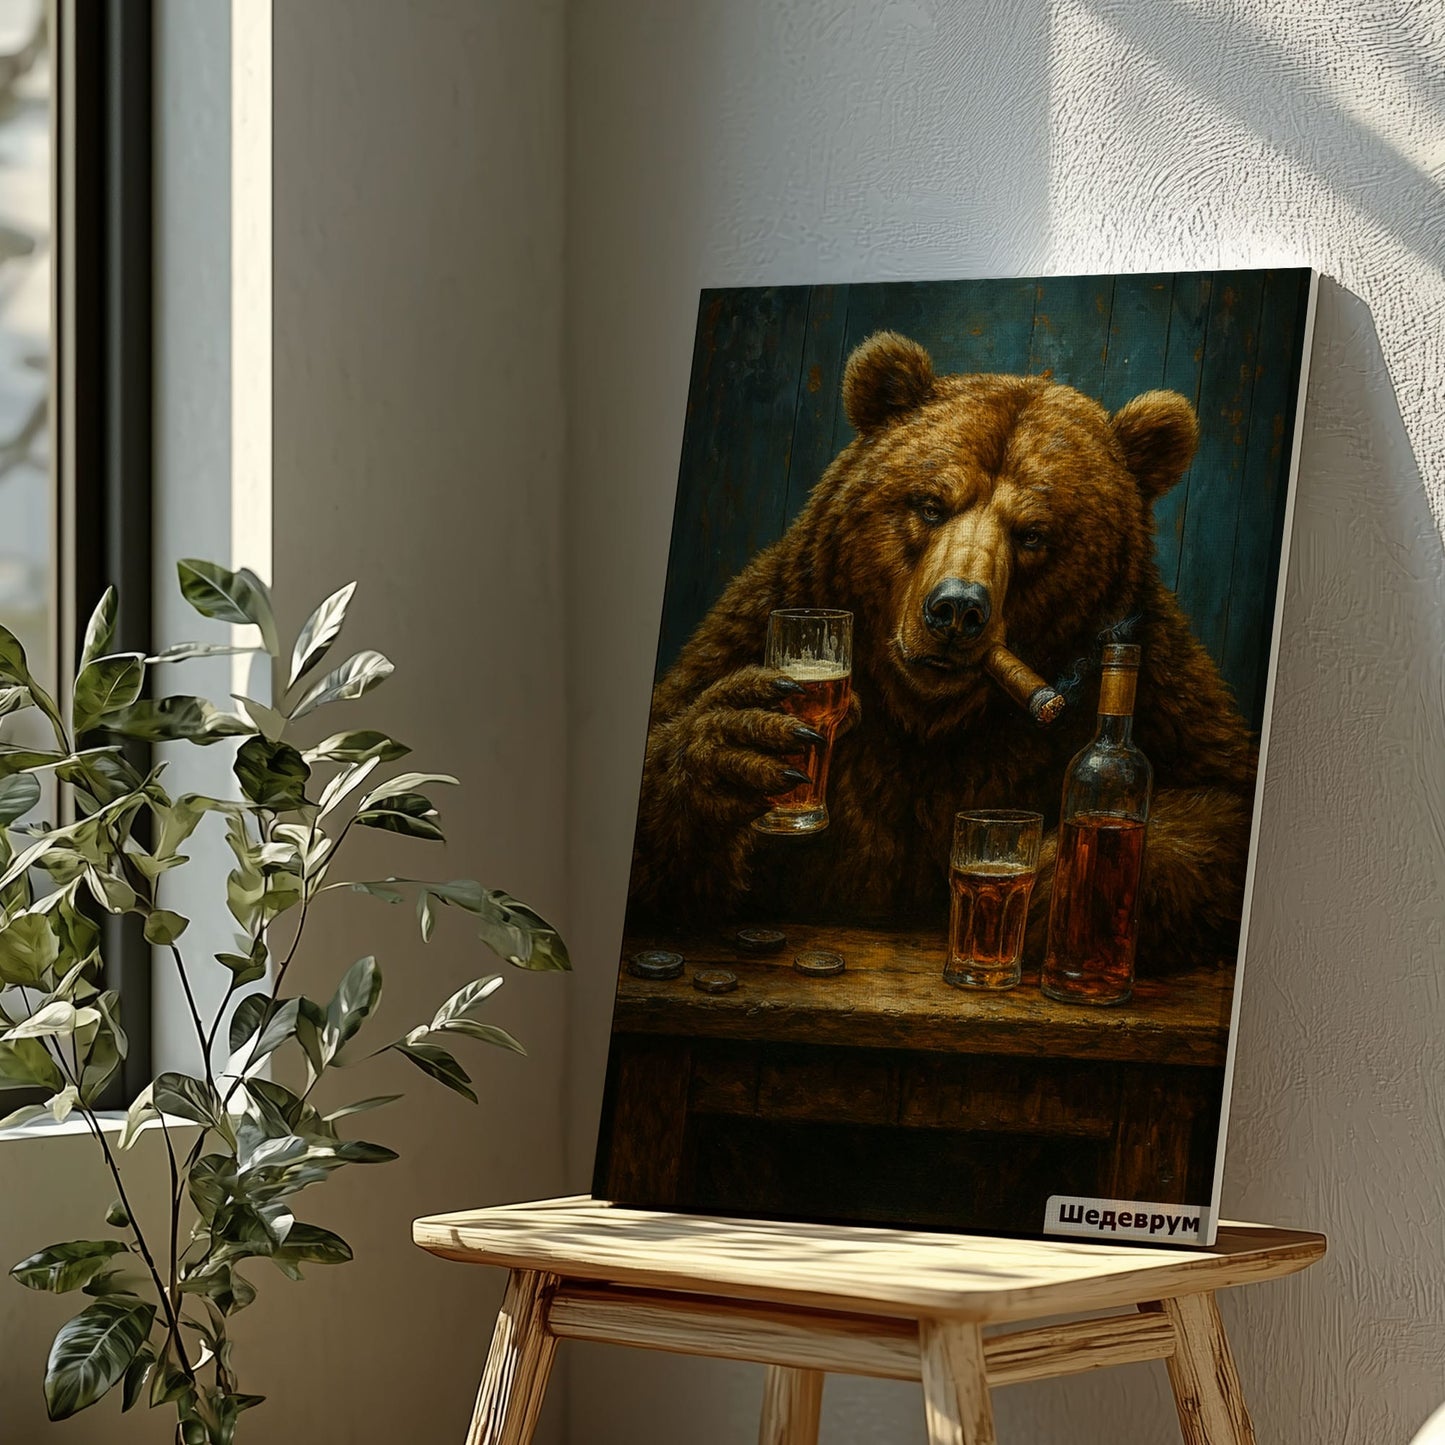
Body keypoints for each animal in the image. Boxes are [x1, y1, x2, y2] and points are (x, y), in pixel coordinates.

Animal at [628, 331, 1259, 973]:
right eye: (931, 504)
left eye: (1033, 533)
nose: (957, 610)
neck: (929, 718)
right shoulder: (761, 616)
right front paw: (733, 748)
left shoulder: (1161, 682)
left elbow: (1223, 805)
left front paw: (1055, 885)